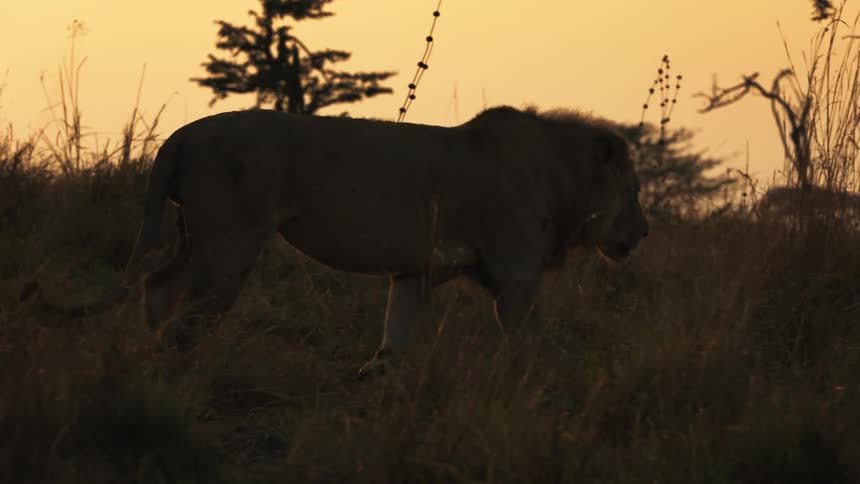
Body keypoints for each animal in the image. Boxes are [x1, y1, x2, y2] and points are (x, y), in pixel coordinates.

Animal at [40, 105, 648, 377]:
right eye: (637, 190)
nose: (644, 232)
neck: (567, 174)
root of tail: (184, 132)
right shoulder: (517, 278)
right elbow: (528, 342)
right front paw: (534, 381)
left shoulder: (414, 273)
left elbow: (393, 338)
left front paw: (371, 382)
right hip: (231, 241)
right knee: (187, 322)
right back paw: (179, 373)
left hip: (197, 234)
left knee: (159, 284)